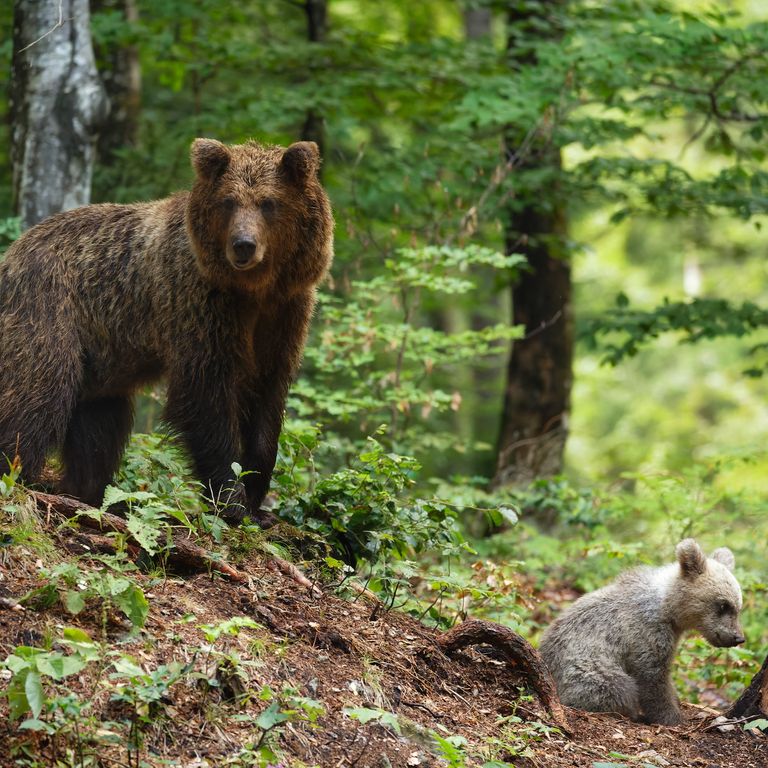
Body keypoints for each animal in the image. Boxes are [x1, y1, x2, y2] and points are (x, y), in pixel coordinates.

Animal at [1, 136, 334, 520]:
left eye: (269, 202)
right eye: (228, 201)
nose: (243, 246)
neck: (253, 290)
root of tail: (13, 251)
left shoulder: (285, 314)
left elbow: (267, 399)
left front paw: (256, 497)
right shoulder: (200, 304)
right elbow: (205, 396)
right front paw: (231, 499)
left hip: (101, 362)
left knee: (99, 427)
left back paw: (89, 493)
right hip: (49, 307)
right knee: (38, 392)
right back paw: (21, 474)